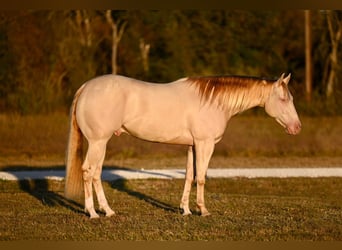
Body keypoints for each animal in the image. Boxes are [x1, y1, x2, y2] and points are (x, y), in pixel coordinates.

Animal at [65, 72, 302, 217]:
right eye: (283, 99)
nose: (297, 127)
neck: (214, 101)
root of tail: (86, 88)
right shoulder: (205, 144)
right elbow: (202, 177)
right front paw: (203, 210)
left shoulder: (192, 146)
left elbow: (189, 176)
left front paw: (186, 210)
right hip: (98, 142)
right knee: (88, 172)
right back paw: (93, 213)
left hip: (101, 144)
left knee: (96, 174)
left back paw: (107, 210)